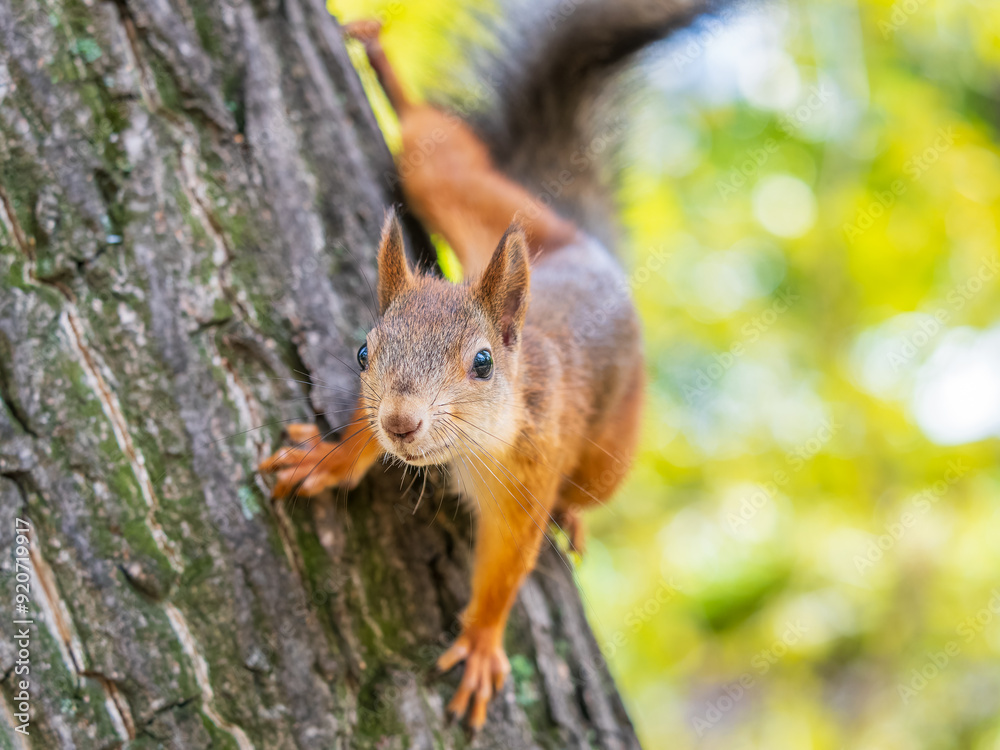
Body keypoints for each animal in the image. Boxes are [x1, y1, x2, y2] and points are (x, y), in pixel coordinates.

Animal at [260, 1, 717, 731]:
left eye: (481, 363)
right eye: (364, 352)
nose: (403, 423)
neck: (474, 445)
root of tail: (585, 254)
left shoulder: (529, 477)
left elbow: (506, 567)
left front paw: (479, 642)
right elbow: (360, 432)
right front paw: (328, 458)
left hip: (609, 455)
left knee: (592, 489)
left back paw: (574, 515)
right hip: (469, 195)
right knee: (440, 150)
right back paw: (382, 64)